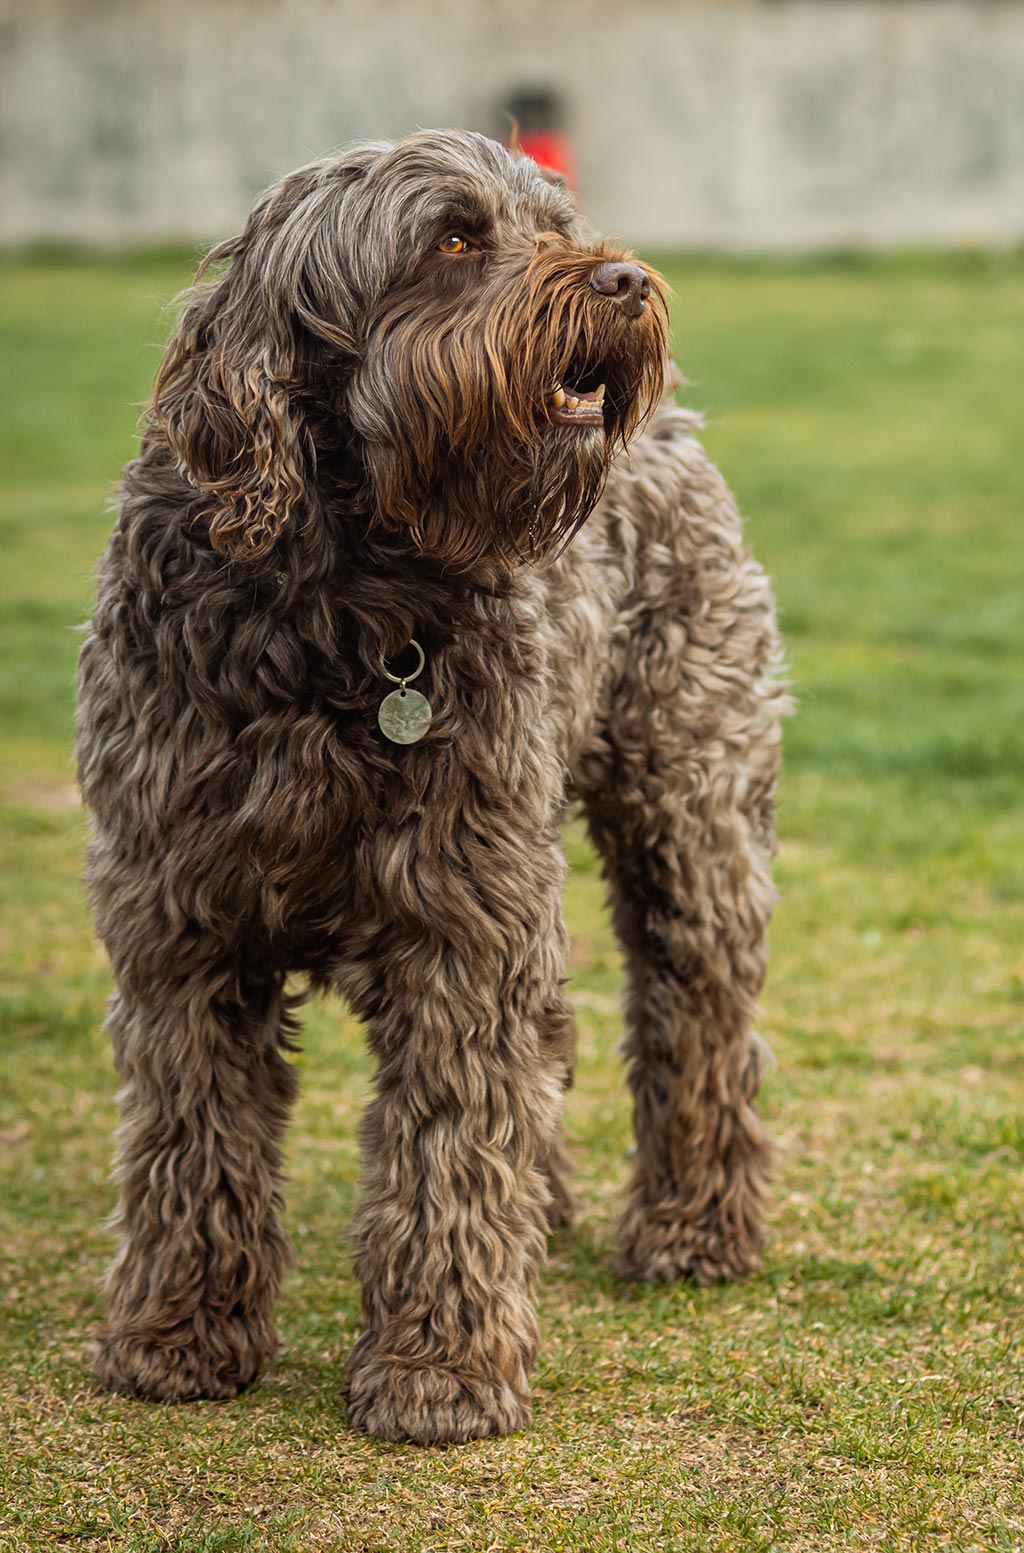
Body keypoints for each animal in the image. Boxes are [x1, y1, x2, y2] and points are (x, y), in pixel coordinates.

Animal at [76, 127, 789, 1447]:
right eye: (453, 238)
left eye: (558, 221)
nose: (622, 280)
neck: (339, 597)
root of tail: (672, 431)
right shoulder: (177, 920)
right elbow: (190, 1137)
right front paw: (177, 1334)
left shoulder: (456, 918)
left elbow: (447, 1145)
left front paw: (440, 1367)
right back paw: (547, 1206)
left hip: (687, 813)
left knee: (699, 1014)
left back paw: (695, 1227)